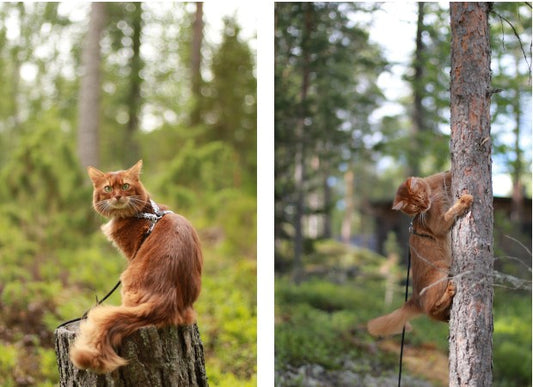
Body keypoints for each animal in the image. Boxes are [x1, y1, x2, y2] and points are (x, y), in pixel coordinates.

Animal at [69, 160, 203, 372]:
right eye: (108, 188)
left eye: (125, 186)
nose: (117, 196)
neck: (145, 214)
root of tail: (166, 301)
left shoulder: (132, 252)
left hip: (127, 279)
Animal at [366, 172, 474, 336]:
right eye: (415, 207)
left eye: (421, 198)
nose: (425, 206)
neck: (435, 192)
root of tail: (414, 298)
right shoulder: (439, 223)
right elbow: (452, 211)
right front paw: (464, 200)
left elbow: (446, 175)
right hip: (441, 269)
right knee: (431, 309)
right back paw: (449, 292)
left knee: (435, 315)